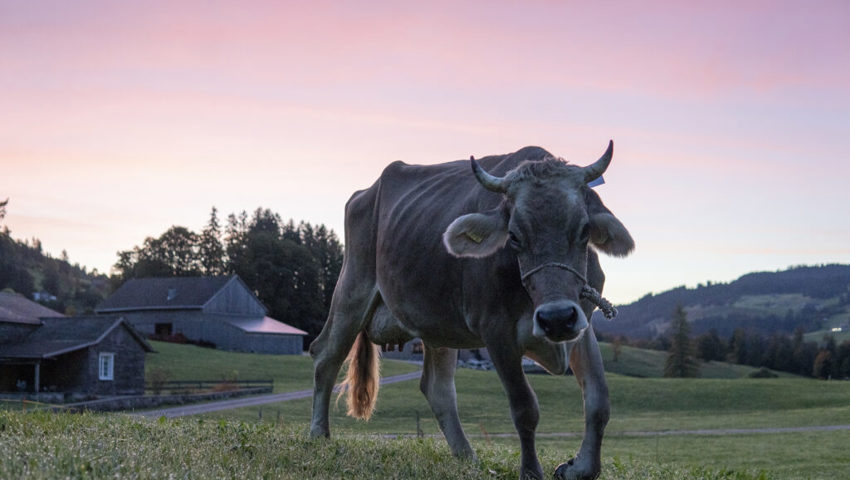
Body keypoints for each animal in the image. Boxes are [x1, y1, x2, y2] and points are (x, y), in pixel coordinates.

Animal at [308, 142, 632, 480]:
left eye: (584, 230)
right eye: (514, 236)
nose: (555, 318)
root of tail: (365, 193)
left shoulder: (581, 320)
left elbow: (598, 400)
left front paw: (579, 468)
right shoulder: (496, 331)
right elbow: (524, 408)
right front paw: (531, 472)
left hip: (437, 323)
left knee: (437, 388)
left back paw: (466, 457)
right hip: (352, 289)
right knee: (325, 354)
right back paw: (318, 434)